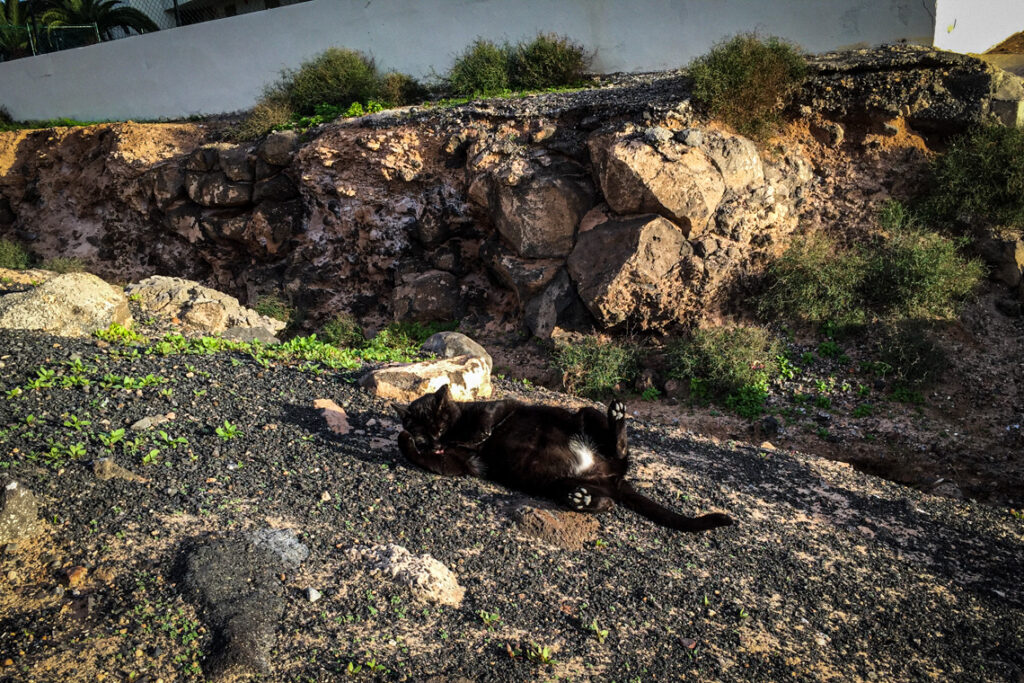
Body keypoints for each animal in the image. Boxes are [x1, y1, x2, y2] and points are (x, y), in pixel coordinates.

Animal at [393, 385, 737, 532]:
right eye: (426, 437)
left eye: (440, 426)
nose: (437, 443)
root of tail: (609, 477)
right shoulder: (457, 464)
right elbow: (424, 458)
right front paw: (405, 438)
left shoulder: (501, 406)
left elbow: (487, 419)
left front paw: (478, 434)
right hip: (555, 485)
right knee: (606, 504)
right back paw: (582, 501)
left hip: (586, 414)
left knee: (621, 451)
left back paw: (617, 416)